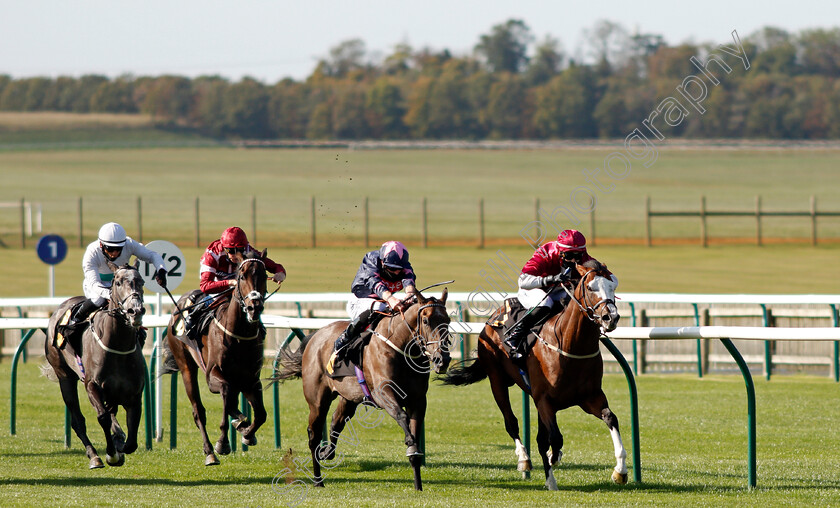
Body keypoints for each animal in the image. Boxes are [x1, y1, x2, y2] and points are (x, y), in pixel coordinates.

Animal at [44, 262, 148, 468]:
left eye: (141, 281)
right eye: (118, 282)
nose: (135, 311)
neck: (117, 346)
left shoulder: (134, 394)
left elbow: (131, 440)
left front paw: (119, 445)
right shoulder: (92, 385)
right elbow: (103, 417)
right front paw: (112, 453)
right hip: (65, 377)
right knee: (78, 421)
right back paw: (94, 456)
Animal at [166, 249, 268, 464]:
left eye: (264, 275)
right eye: (241, 276)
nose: (254, 307)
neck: (239, 335)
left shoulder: (251, 380)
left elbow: (260, 414)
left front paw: (247, 433)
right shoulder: (213, 375)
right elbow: (227, 393)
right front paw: (223, 442)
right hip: (186, 365)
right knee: (199, 411)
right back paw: (210, 452)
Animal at [272, 290, 450, 492]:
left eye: (448, 320)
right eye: (426, 320)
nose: (442, 359)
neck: (400, 345)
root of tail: (315, 336)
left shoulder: (418, 400)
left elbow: (414, 431)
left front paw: (418, 484)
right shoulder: (383, 393)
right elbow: (402, 416)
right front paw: (410, 443)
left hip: (349, 397)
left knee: (336, 421)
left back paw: (327, 452)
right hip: (317, 400)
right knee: (314, 435)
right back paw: (318, 479)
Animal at [442, 260, 628, 490]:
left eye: (613, 287)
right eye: (591, 287)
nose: (611, 317)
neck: (570, 345)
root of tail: (492, 318)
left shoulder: (589, 397)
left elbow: (610, 418)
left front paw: (620, 471)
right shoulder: (545, 399)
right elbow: (554, 439)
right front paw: (553, 458)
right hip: (497, 380)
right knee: (511, 422)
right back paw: (524, 460)